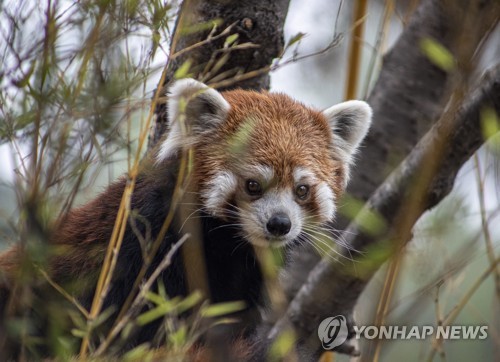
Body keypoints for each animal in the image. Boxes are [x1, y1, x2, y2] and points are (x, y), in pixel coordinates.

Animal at [0, 78, 372, 358]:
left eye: (301, 189)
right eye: (253, 185)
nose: (279, 224)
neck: (224, 244)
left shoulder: (242, 283)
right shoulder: (138, 253)